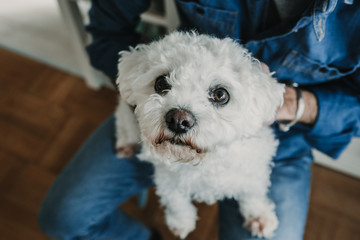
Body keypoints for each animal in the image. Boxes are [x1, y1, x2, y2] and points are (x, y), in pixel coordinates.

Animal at [114, 31, 284, 238]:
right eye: (161, 82)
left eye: (220, 94)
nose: (178, 120)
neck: (202, 161)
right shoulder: (165, 176)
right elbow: (175, 200)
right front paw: (181, 221)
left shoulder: (253, 167)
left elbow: (253, 192)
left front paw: (259, 216)